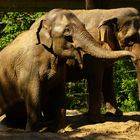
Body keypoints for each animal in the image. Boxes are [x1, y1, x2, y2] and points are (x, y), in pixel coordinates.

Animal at [0, 8, 136, 131]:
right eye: (67, 34)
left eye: (84, 26)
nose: (133, 55)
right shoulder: (30, 68)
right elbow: (34, 95)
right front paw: (32, 131)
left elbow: (60, 93)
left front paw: (61, 129)